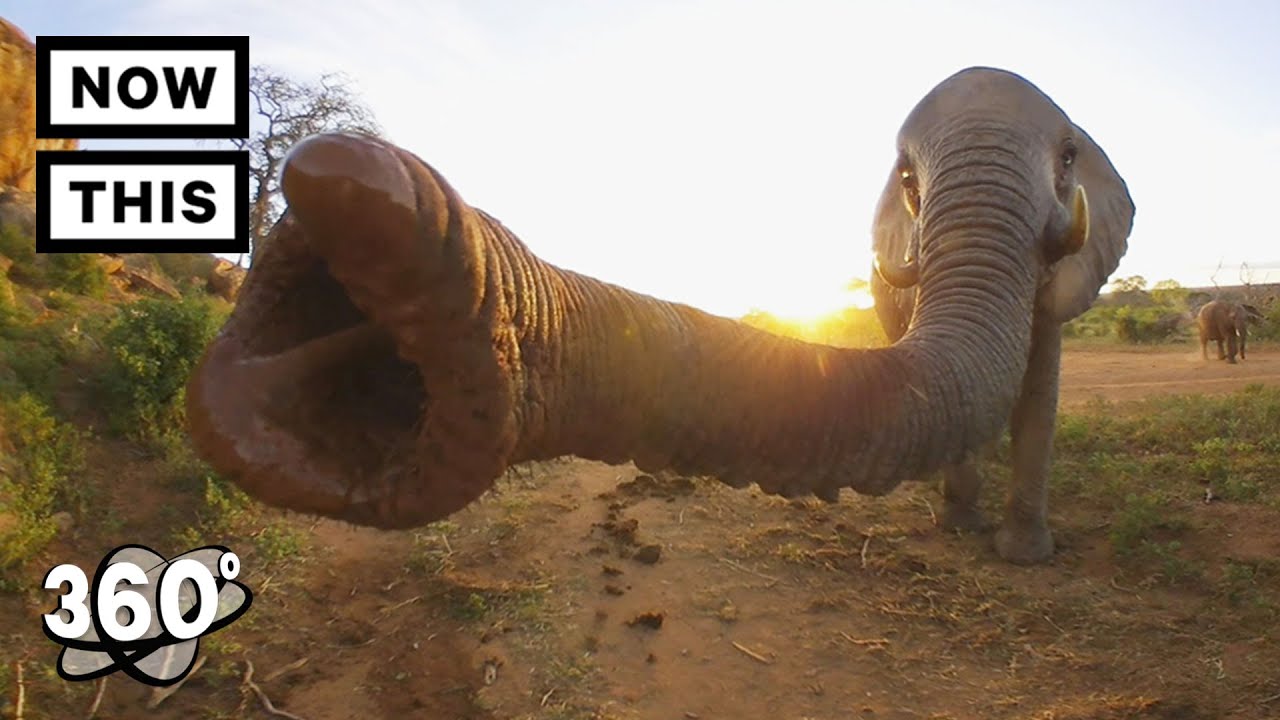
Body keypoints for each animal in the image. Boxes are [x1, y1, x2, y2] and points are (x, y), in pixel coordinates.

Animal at [184, 66, 1135, 566]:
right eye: (906, 177)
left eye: (1069, 158)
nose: (346, 183)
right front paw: (982, 539)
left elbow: (1037, 390)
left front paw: (1024, 559)